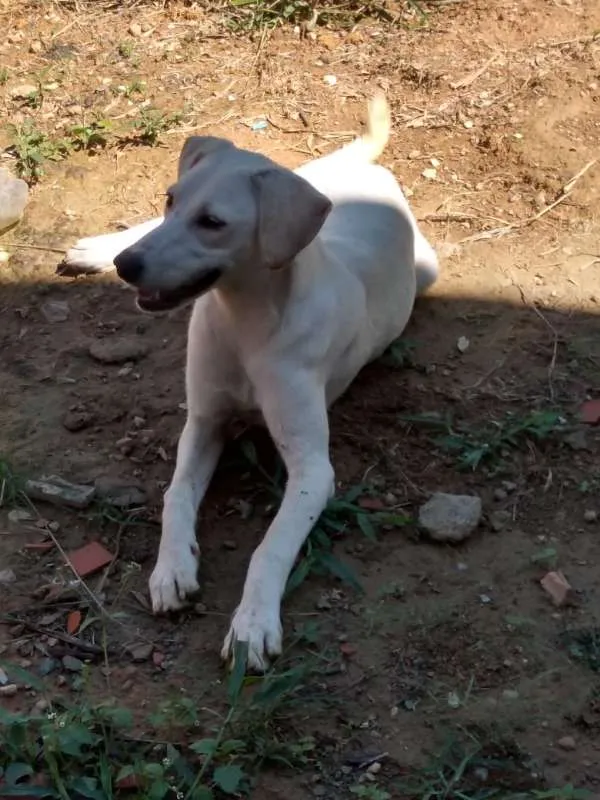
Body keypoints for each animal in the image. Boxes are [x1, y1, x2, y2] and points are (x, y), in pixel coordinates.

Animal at [63, 95, 438, 668]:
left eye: (213, 222)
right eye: (172, 200)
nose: (127, 267)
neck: (245, 321)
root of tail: (362, 171)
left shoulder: (312, 469)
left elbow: (271, 546)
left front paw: (252, 624)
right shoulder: (203, 421)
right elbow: (175, 495)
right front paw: (171, 568)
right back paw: (97, 248)